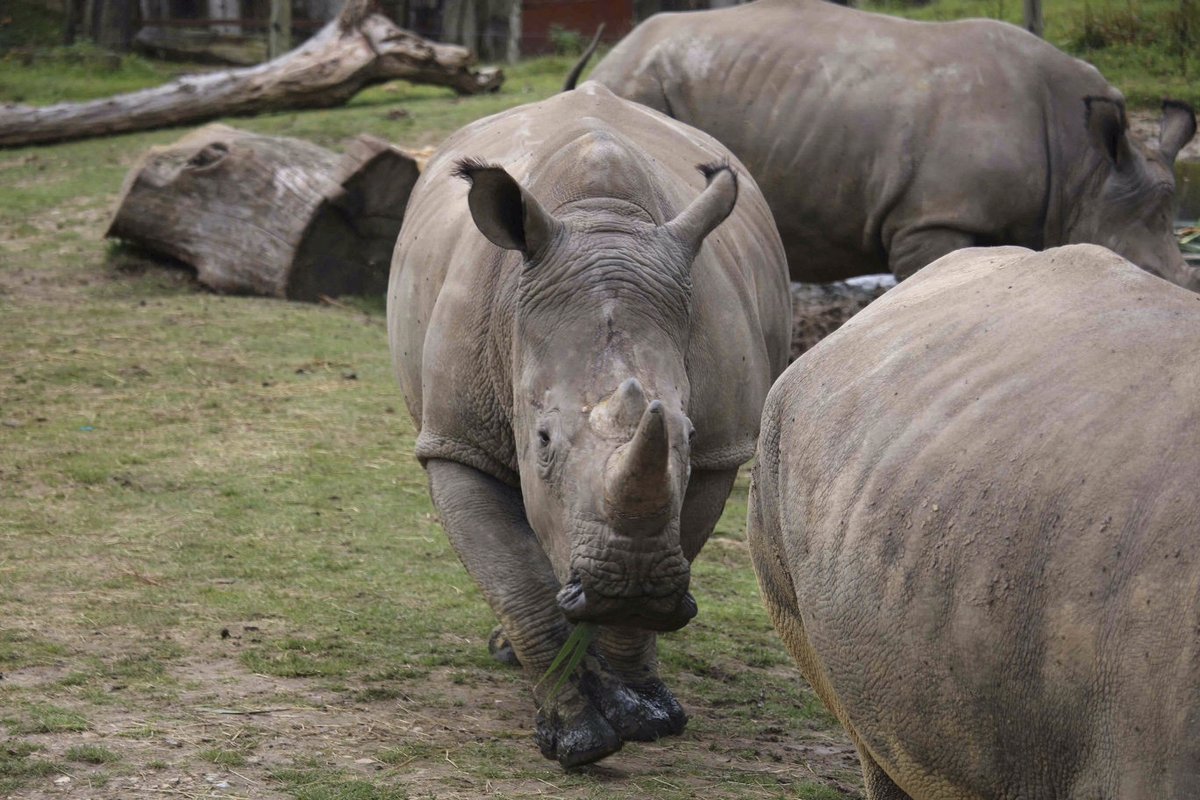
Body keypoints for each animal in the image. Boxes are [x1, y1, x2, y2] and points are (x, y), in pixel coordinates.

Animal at [388, 81, 792, 767]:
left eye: (686, 434)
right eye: (543, 439)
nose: (629, 583)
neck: (602, 221)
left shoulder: (719, 451)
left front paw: (644, 713)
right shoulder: (455, 441)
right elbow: (517, 584)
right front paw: (577, 738)